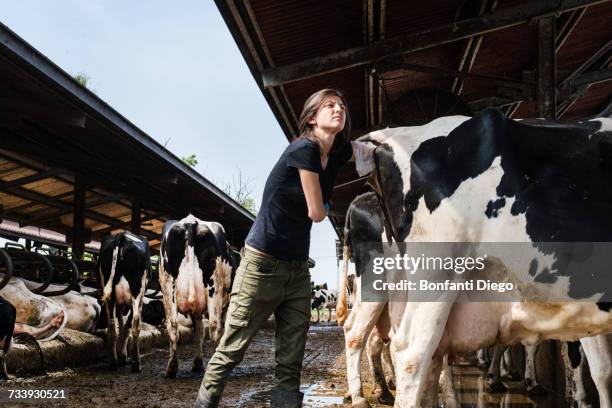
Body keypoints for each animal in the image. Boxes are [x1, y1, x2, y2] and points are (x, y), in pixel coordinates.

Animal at [98, 231, 152, 372]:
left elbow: (122, 326)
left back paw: (113, 362)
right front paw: (124, 356)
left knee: (111, 327)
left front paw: (122, 356)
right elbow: (127, 326)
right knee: (135, 324)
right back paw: (136, 364)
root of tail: (122, 236)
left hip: (110, 295)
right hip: (137, 292)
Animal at [158, 215, 239, 378]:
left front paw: (197, 363)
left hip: (168, 289)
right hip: (215, 288)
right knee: (215, 327)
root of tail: (190, 222)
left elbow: (199, 333)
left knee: (173, 326)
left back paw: (171, 368)